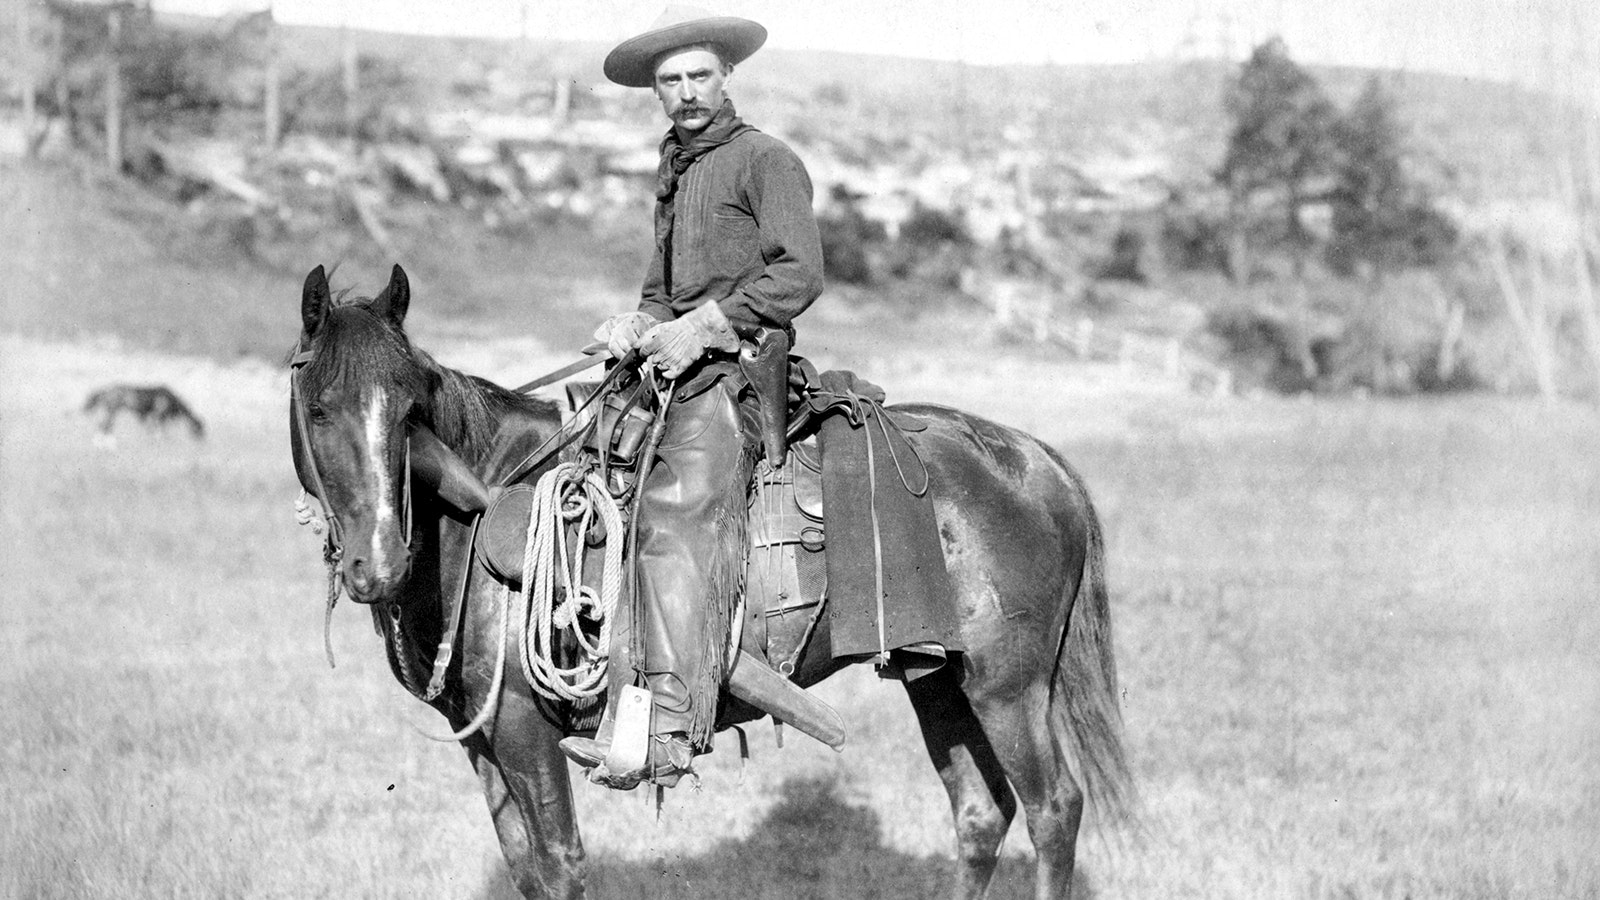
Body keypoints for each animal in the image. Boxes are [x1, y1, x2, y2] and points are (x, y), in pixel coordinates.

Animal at [291, 261, 1139, 896]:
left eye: (409, 411)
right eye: (320, 408)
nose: (378, 562)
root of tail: (1036, 461)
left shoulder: (527, 737)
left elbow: (560, 868)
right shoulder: (486, 744)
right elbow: (527, 871)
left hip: (1007, 686)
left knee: (1054, 811)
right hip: (937, 679)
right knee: (980, 815)